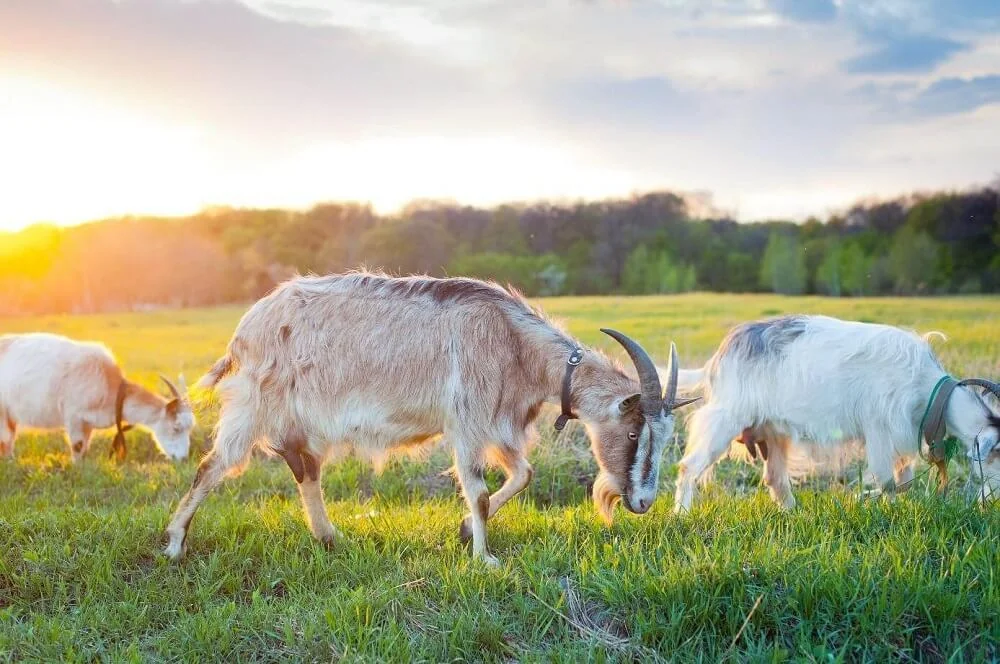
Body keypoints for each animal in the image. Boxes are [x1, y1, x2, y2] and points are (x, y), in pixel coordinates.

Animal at [0, 332, 195, 462]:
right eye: (176, 427)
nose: (184, 458)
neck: (111, 387)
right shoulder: (73, 414)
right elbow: (77, 445)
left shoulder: (88, 422)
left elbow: (84, 447)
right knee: (6, 439)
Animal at [166, 272, 696, 564]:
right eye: (633, 431)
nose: (644, 502)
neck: (514, 343)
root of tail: (245, 329)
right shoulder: (468, 420)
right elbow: (477, 490)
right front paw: (485, 558)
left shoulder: (497, 424)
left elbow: (523, 473)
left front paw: (463, 532)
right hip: (258, 403)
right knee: (214, 466)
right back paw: (174, 545)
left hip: (299, 419)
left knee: (304, 468)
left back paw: (329, 537)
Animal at [668, 314, 1000, 510]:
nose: (990, 504)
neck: (928, 388)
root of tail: (717, 358)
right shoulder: (879, 429)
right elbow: (888, 481)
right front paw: (876, 505)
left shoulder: (901, 435)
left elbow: (903, 480)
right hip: (725, 419)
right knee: (689, 466)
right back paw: (681, 514)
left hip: (772, 432)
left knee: (774, 478)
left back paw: (793, 513)